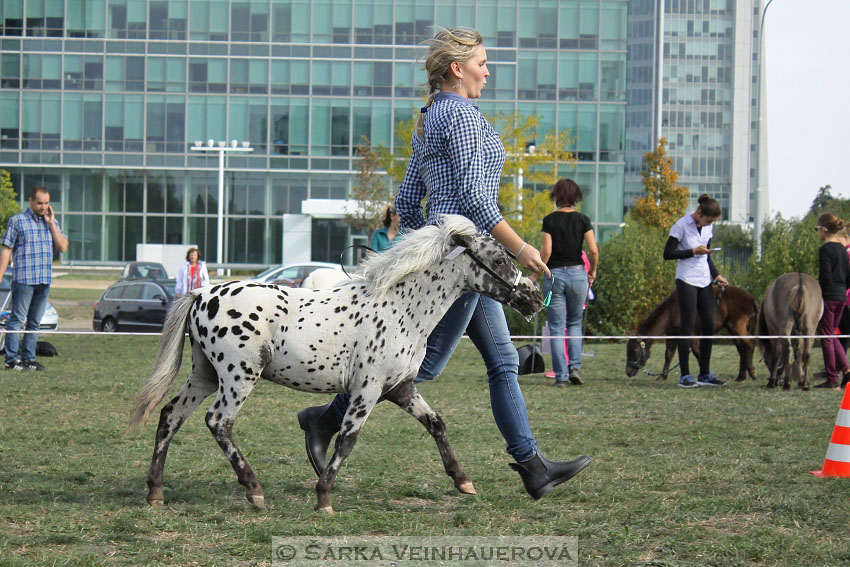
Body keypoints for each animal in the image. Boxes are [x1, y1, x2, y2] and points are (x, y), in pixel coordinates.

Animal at [129, 214, 540, 516]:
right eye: (499, 259)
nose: (534, 297)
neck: (402, 309)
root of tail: (202, 294)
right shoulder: (367, 390)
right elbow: (348, 438)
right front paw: (324, 497)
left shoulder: (401, 388)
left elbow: (436, 423)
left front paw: (463, 481)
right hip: (238, 376)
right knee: (218, 423)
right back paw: (254, 489)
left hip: (204, 375)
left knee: (169, 416)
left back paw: (155, 492)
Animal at [624, 286, 756, 384]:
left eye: (635, 350)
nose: (628, 372)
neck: (670, 312)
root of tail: (751, 298)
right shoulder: (673, 334)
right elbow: (669, 354)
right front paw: (662, 376)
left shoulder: (692, 335)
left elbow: (697, 353)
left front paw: (705, 376)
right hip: (731, 328)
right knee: (742, 349)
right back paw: (741, 376)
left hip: (737, 326)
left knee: (750, 343)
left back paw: (752, 372)